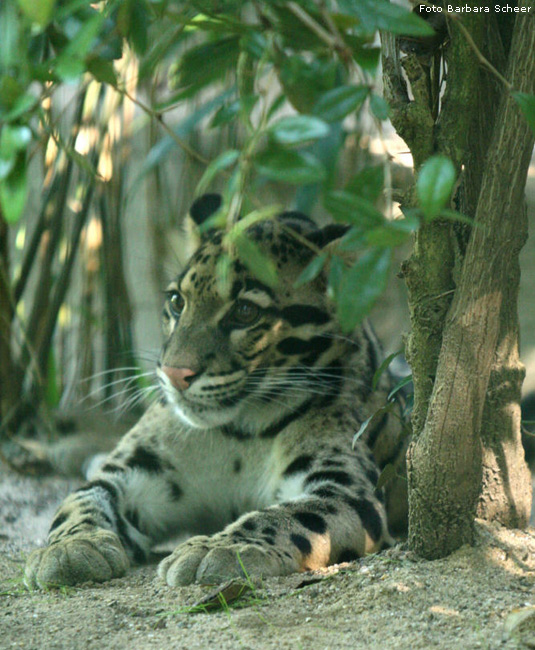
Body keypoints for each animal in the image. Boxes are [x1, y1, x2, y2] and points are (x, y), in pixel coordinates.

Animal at [24, 194, 406, 588]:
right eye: (177, 301)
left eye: (245, 311)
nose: (175, 374)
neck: (239, 432)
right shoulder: (136, 469)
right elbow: (82, 500)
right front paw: (71, 546)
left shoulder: (346, 488)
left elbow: (286, 516)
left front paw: (219, 548)